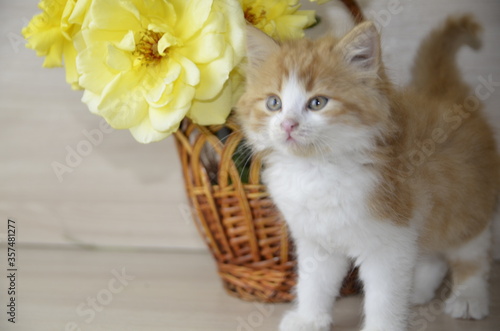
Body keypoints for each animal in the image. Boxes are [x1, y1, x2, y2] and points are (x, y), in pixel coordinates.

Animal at [235, 14, 500, 331]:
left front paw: (384, 324)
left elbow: (384, 298)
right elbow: (314, 283)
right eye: (274, 103)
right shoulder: (317, 239)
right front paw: (309, 319)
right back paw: (418, 290)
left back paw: (469, 297)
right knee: (431, 254)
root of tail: (446, 95)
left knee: (472, 252)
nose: (288, 124)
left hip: (467, 202)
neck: (317, 169)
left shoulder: (390, 240)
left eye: (318, 102)